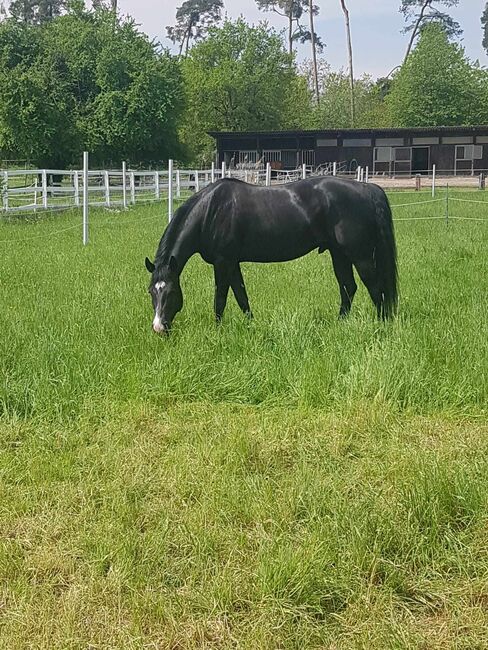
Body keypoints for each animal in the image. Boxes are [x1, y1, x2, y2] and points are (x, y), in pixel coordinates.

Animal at [145, 175, 396, 332]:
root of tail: (368, 189)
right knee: (349, 288)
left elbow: (220, 298)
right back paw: (340, 323)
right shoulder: (232, 262)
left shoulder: (223, 262)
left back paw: (382, 324)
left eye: (170, 292)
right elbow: (241, 296)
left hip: (360, 255)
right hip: (339, 254)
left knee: (375, 287)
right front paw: (251, 325)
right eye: (151, 292)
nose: (159, 328)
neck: (211, 210)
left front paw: (217, 330)